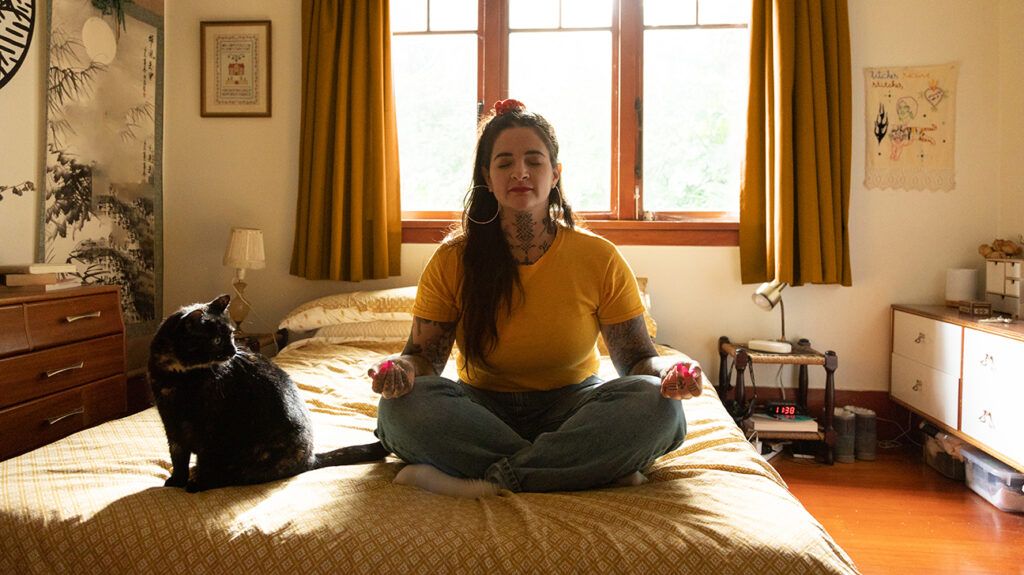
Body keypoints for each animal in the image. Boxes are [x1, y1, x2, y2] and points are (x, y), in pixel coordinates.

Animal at [149, 292, 389, 491]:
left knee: (239, 476)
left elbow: (205, 460)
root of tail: (311, 458)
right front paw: (176, 481)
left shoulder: (210, 428)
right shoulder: (171, 421)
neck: (178, 375)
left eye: (232, 335)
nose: (234, 351)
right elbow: (177, 455)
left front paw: (197, 483)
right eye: (216, 340)